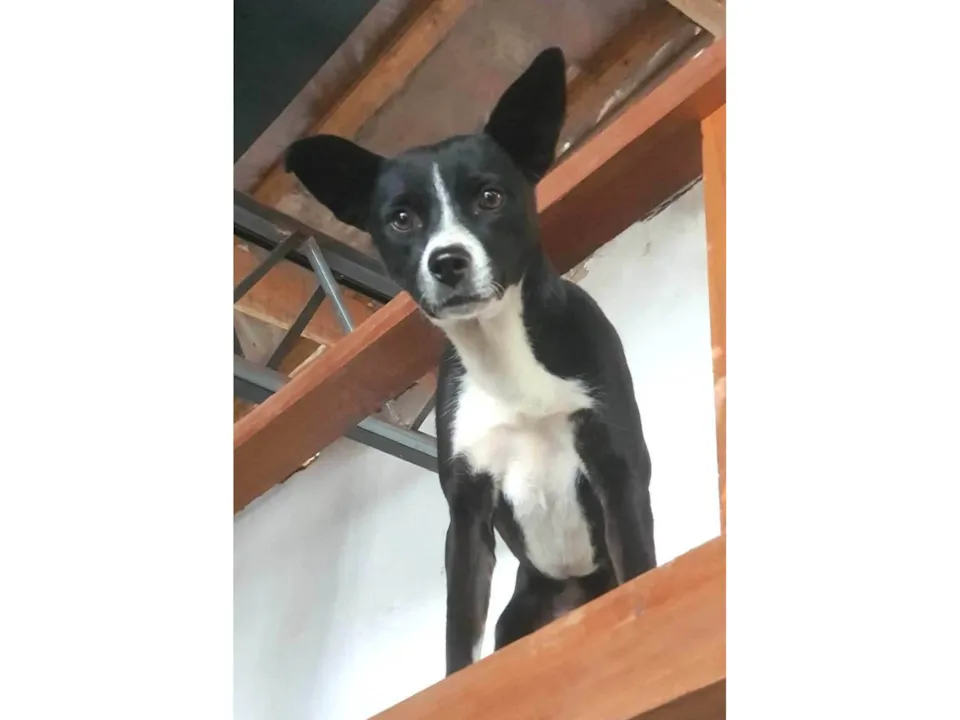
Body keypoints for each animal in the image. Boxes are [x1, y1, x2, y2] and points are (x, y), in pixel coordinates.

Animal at [285, 47, 656, 676]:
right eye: (401, 218)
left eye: (490, 197)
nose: (448, 262)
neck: (500, 351)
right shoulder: (467, 513)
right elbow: (459, 639)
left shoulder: (617, 468)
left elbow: (639, 572)